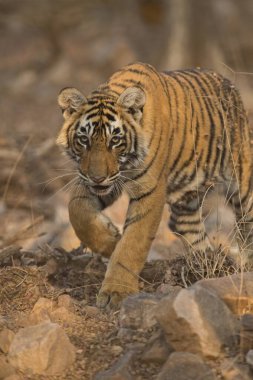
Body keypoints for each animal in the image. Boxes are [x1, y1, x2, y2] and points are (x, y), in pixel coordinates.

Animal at [56, 60, 253, 308]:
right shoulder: (102, 181)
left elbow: (133, 242)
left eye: (115, 140)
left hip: (242, 180)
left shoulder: (148, 190)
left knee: (246, 222)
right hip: (186, 196)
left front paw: (116, 292)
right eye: (84, 140)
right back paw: (205, 264)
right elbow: (77, 211)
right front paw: (111, 240)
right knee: (186, 225)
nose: (97, 178)